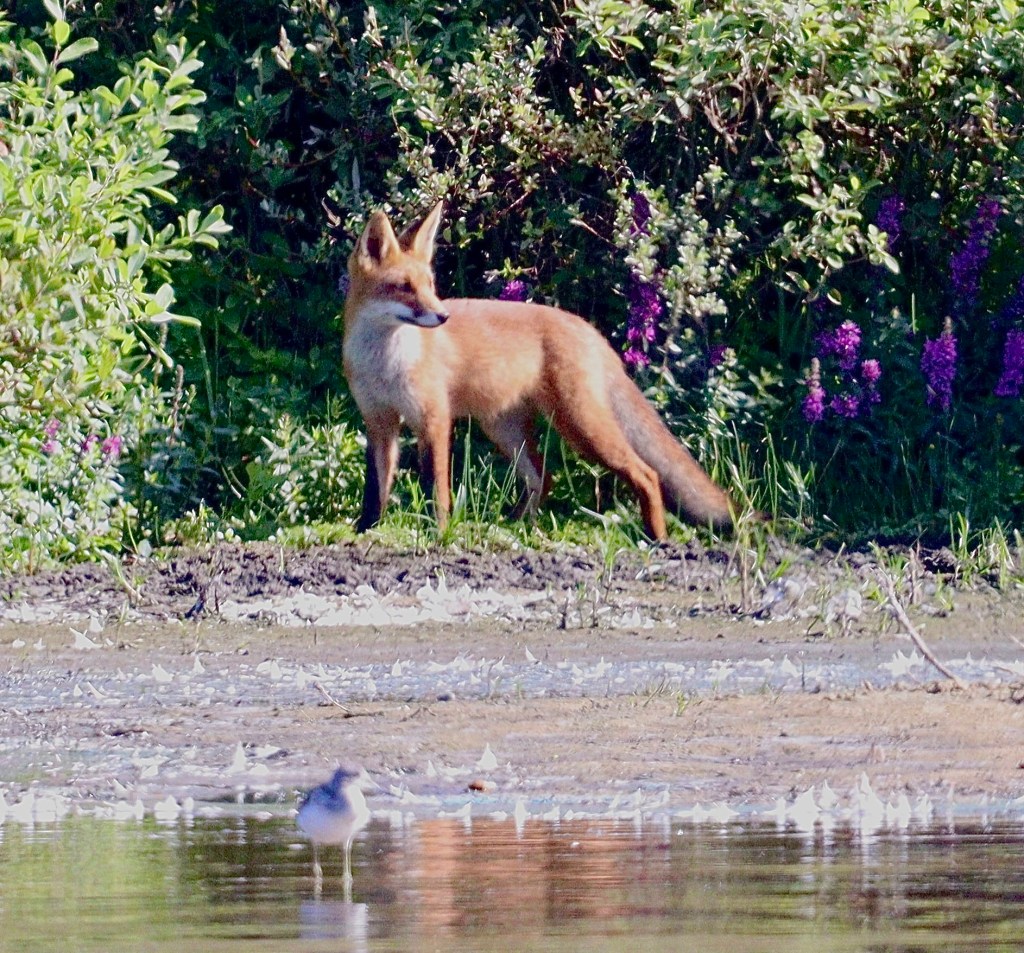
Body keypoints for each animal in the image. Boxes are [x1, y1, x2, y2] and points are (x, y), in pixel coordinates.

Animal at [329, 199, 736, 540]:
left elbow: (436, 490)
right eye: (403, 287)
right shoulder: (379, 422)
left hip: (581, 427)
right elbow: (376, 489)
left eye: (430, 286)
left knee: (647, 474)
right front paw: (365, 531)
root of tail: (586, 328)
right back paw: (515, 525)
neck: (384, 365)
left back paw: (657, 538)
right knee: (545, 477)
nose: (442, 316)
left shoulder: (434, 420)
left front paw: (439, 534)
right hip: (505, 430)